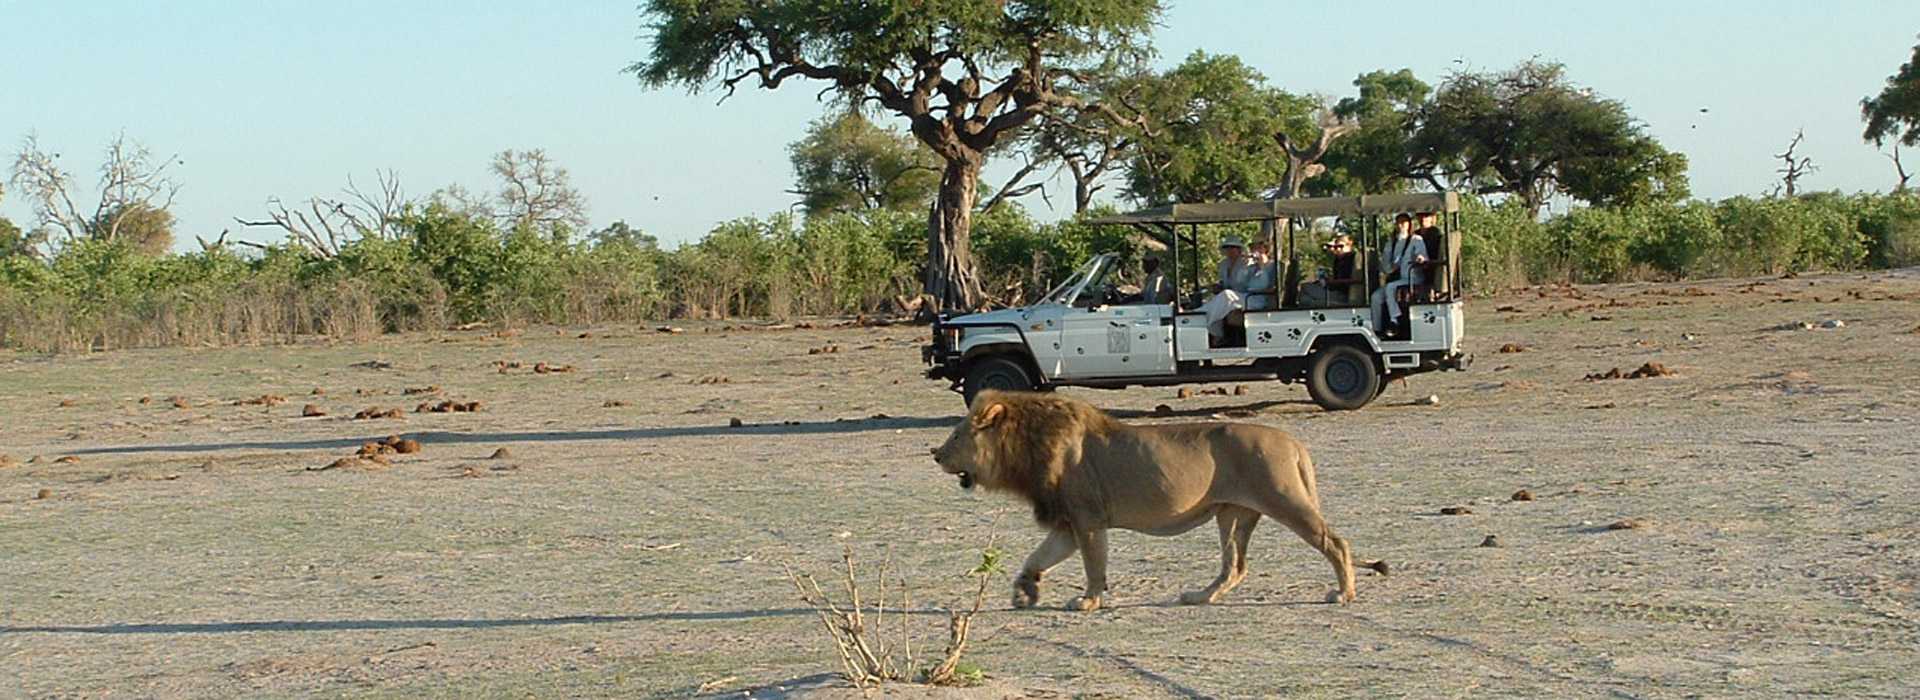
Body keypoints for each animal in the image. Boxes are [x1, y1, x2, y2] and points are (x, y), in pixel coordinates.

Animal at [925, 389, 1382, 609]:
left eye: (957, 435)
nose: (935, 454)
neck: (1025, 445)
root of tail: (1294, 441)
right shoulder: (1069, 523)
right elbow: (1037, 558)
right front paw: (1025, 592)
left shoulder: (1087, 519)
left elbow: (1094, 566)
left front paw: (1086, 602)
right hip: (1234, 514)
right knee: (1234, 566)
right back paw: (1200, 597)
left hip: (1284, 499)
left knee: (1336, 543)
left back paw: (1343, 594)